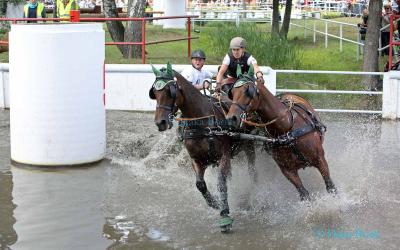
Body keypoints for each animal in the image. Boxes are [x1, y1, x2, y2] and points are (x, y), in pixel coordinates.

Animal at [149, 63, 256, 231]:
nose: (160, 122)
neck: (202, 122)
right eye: (154, 92)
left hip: (249, 146)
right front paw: (215, 203)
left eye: (169, 91)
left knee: (252, 172)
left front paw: (225, 215)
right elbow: (200, 185)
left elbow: (221, 184)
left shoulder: (224, 156)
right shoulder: (197, 159)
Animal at [227, 66, 336, 201]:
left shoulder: (320, 160)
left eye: (247, 90)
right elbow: (304, 194)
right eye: (232, 93)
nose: (231, 118)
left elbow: (330, 187)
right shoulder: (288, 171)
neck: (286, 129)